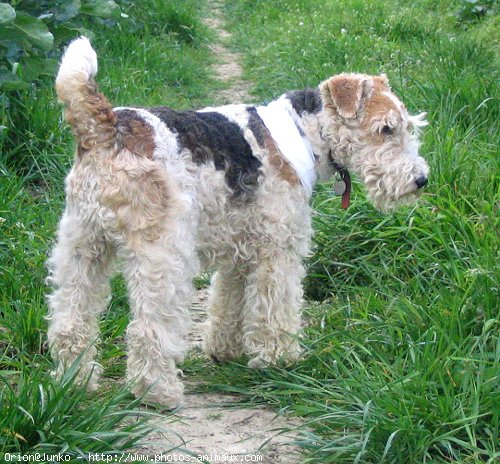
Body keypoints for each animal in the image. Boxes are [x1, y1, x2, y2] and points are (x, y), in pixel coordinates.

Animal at [47, 38, 430, 408]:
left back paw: (75, 382)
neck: (306, 132)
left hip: (82, 244)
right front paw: (280, 359)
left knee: (69, 322)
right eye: (386, 129)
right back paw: (158, 392)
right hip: (161, 252)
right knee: (147, 328)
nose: (421, 180)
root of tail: (105, 129)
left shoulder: (240, 246)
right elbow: (276, 308)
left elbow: (228, 302)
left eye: (408, 127)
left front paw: (224, 351)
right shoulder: (279, 248)